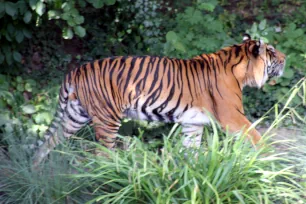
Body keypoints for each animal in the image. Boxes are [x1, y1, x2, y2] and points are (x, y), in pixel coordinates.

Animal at [32, 34, 286, 166]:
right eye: (272, 51)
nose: (285, 58)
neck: (240, 70)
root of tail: (76, 70)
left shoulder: (193, 123)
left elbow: (191, 151)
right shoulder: (232, 116)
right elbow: (257, 137)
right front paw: (272, 160)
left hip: (75, 115)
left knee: (49, 141)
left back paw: (35, 171)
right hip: (106, 120)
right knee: (101, 154)